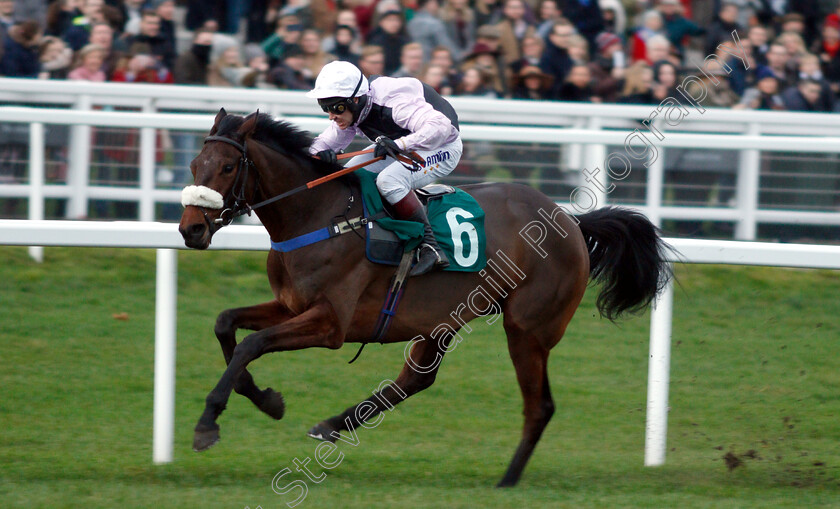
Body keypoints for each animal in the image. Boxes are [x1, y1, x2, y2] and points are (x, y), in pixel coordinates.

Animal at [180, 109, 672, 486]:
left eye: (228, 168)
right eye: (194, 165)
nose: (191, 230)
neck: (319, 217)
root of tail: (571, 220)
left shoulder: (330, 323)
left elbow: (251, 343)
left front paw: (208, 424)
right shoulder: (290, 305)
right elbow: (226, 324)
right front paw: (264, 399)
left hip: (527, 329)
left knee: (540, 406)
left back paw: (508, 480)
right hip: (442, 318)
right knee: (416, 380)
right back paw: (333, 425)